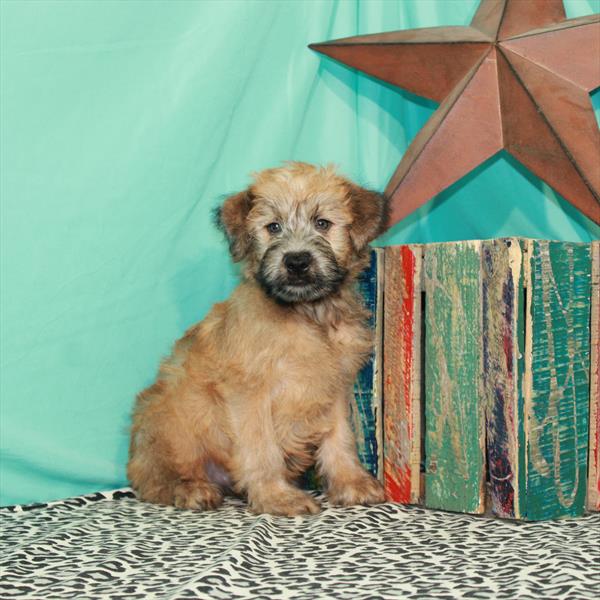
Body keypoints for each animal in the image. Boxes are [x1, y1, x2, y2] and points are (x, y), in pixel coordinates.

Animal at [129, 161, 386, 516]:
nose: (297, 261)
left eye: (322, 223)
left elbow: (340, 438)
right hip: (170, 418)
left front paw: (351, 482)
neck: (306, 314)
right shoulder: (250, 393)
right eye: (273, 227)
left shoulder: (334, 387)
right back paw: (191, 488)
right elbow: (261, 447)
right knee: (155, 478)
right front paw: (276, 496)